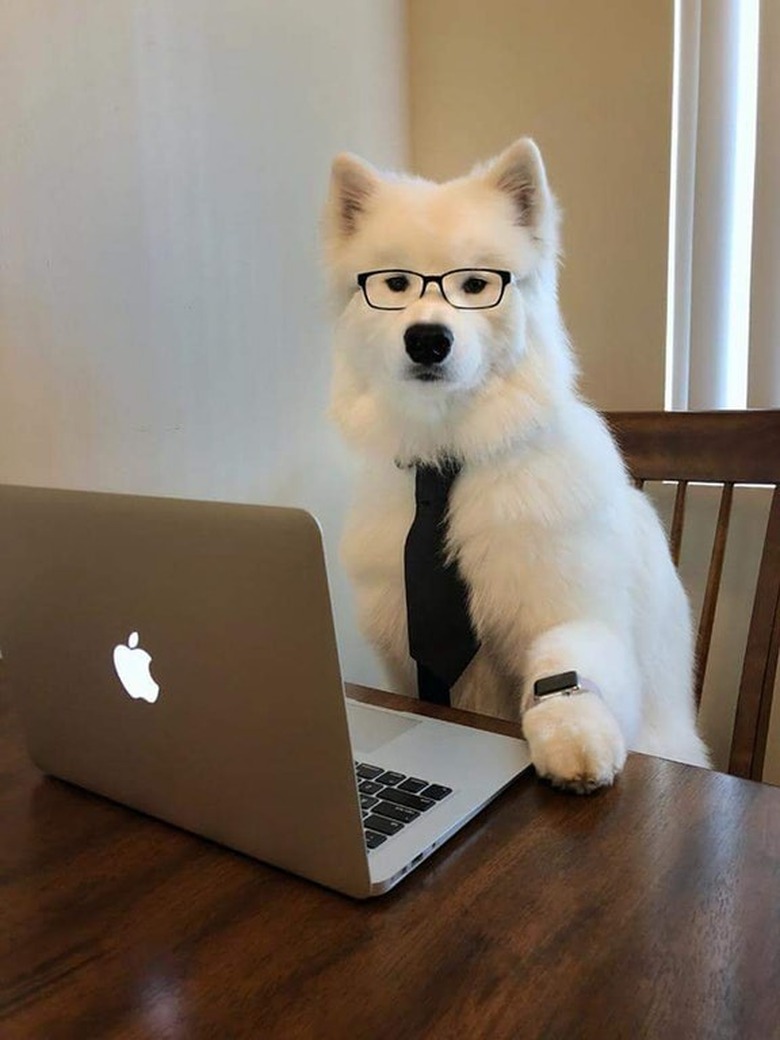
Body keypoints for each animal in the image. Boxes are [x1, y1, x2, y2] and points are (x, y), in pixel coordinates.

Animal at [320, 136, 711, 786]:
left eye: (475, 285)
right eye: (395, 284)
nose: (427, 340)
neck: (451, 457)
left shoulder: (571, 608)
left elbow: (566, 665)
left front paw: (575, 738)